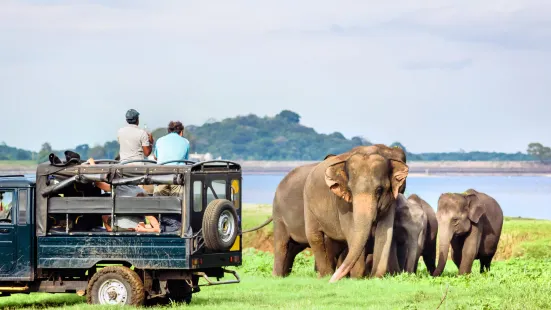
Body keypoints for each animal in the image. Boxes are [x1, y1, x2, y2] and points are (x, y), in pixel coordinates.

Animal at [302, 149, 410, 282]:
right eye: (350, 190)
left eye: (379, 190)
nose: (332, 281)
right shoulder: (342, 203)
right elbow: (351, 232)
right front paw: (356, 279)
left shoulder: (391, 201)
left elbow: (384, 232)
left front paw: (374, 278)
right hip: (308, 206)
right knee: (315, 237)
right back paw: (325, 276)